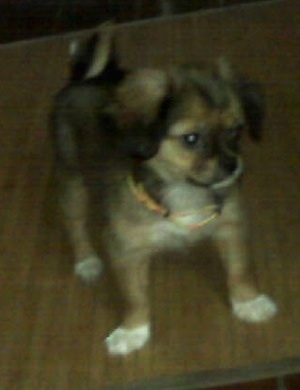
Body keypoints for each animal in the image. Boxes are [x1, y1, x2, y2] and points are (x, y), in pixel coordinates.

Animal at [49, 24, 276, 356]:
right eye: (191, 139)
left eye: (236, 131)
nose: (232, 166)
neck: (183, 190)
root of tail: (87, 79)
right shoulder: (126, 249)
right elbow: (135, 297)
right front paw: (133, 330)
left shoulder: (231, 226)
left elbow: (239, 269)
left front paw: (248, 301)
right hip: (72, 181)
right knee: (75, 224)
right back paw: (86, 261)